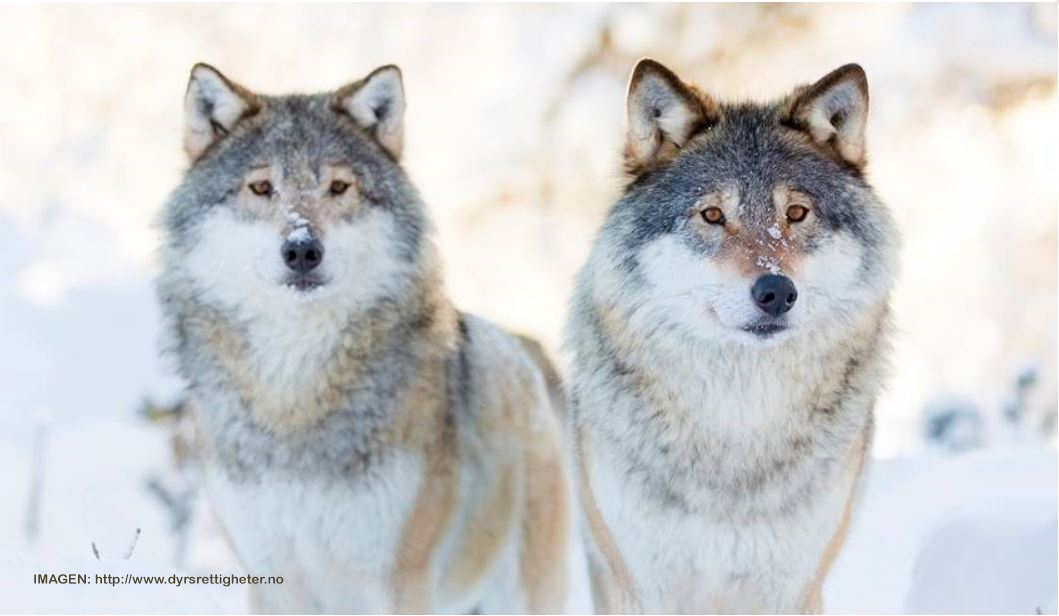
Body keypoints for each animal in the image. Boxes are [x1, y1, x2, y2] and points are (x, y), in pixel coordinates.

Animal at [154, 62, 571, 613]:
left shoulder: (398, 579)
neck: (295, 398)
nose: (302, 249)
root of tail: (522, 350)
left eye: (338, 187)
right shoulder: (271, 578)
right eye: (261, 187)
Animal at [567, 56, 898, 613]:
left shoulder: (792, 587)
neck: (739, 422)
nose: (776, 291)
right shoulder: (645, 585)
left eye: (796, 213)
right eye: (713, 215)